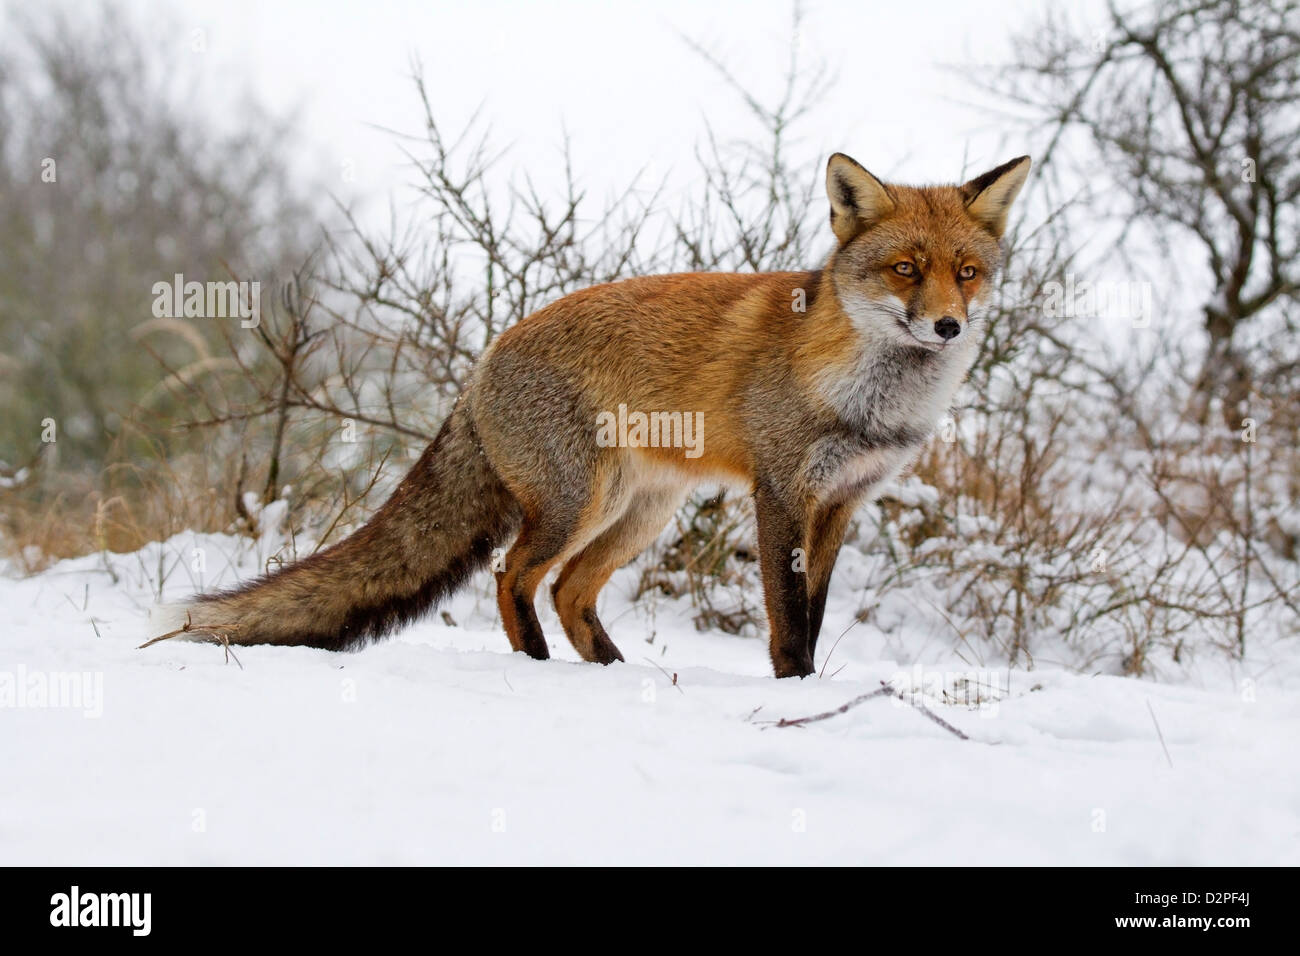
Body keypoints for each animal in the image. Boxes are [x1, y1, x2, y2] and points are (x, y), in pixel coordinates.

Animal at [154, 153, 1024, 676]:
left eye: (967, 272)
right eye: (905, 269)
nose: (948, 326)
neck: (868, 398)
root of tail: (484, 359)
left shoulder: (843, 503)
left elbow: (811, 615)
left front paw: (808, 689)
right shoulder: (781, 492)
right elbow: (785, 620)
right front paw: (792, 691)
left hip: (639, 512)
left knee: (571, 589)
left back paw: (609, 671)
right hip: (580, 501)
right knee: (514, 575)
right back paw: (536, 666)